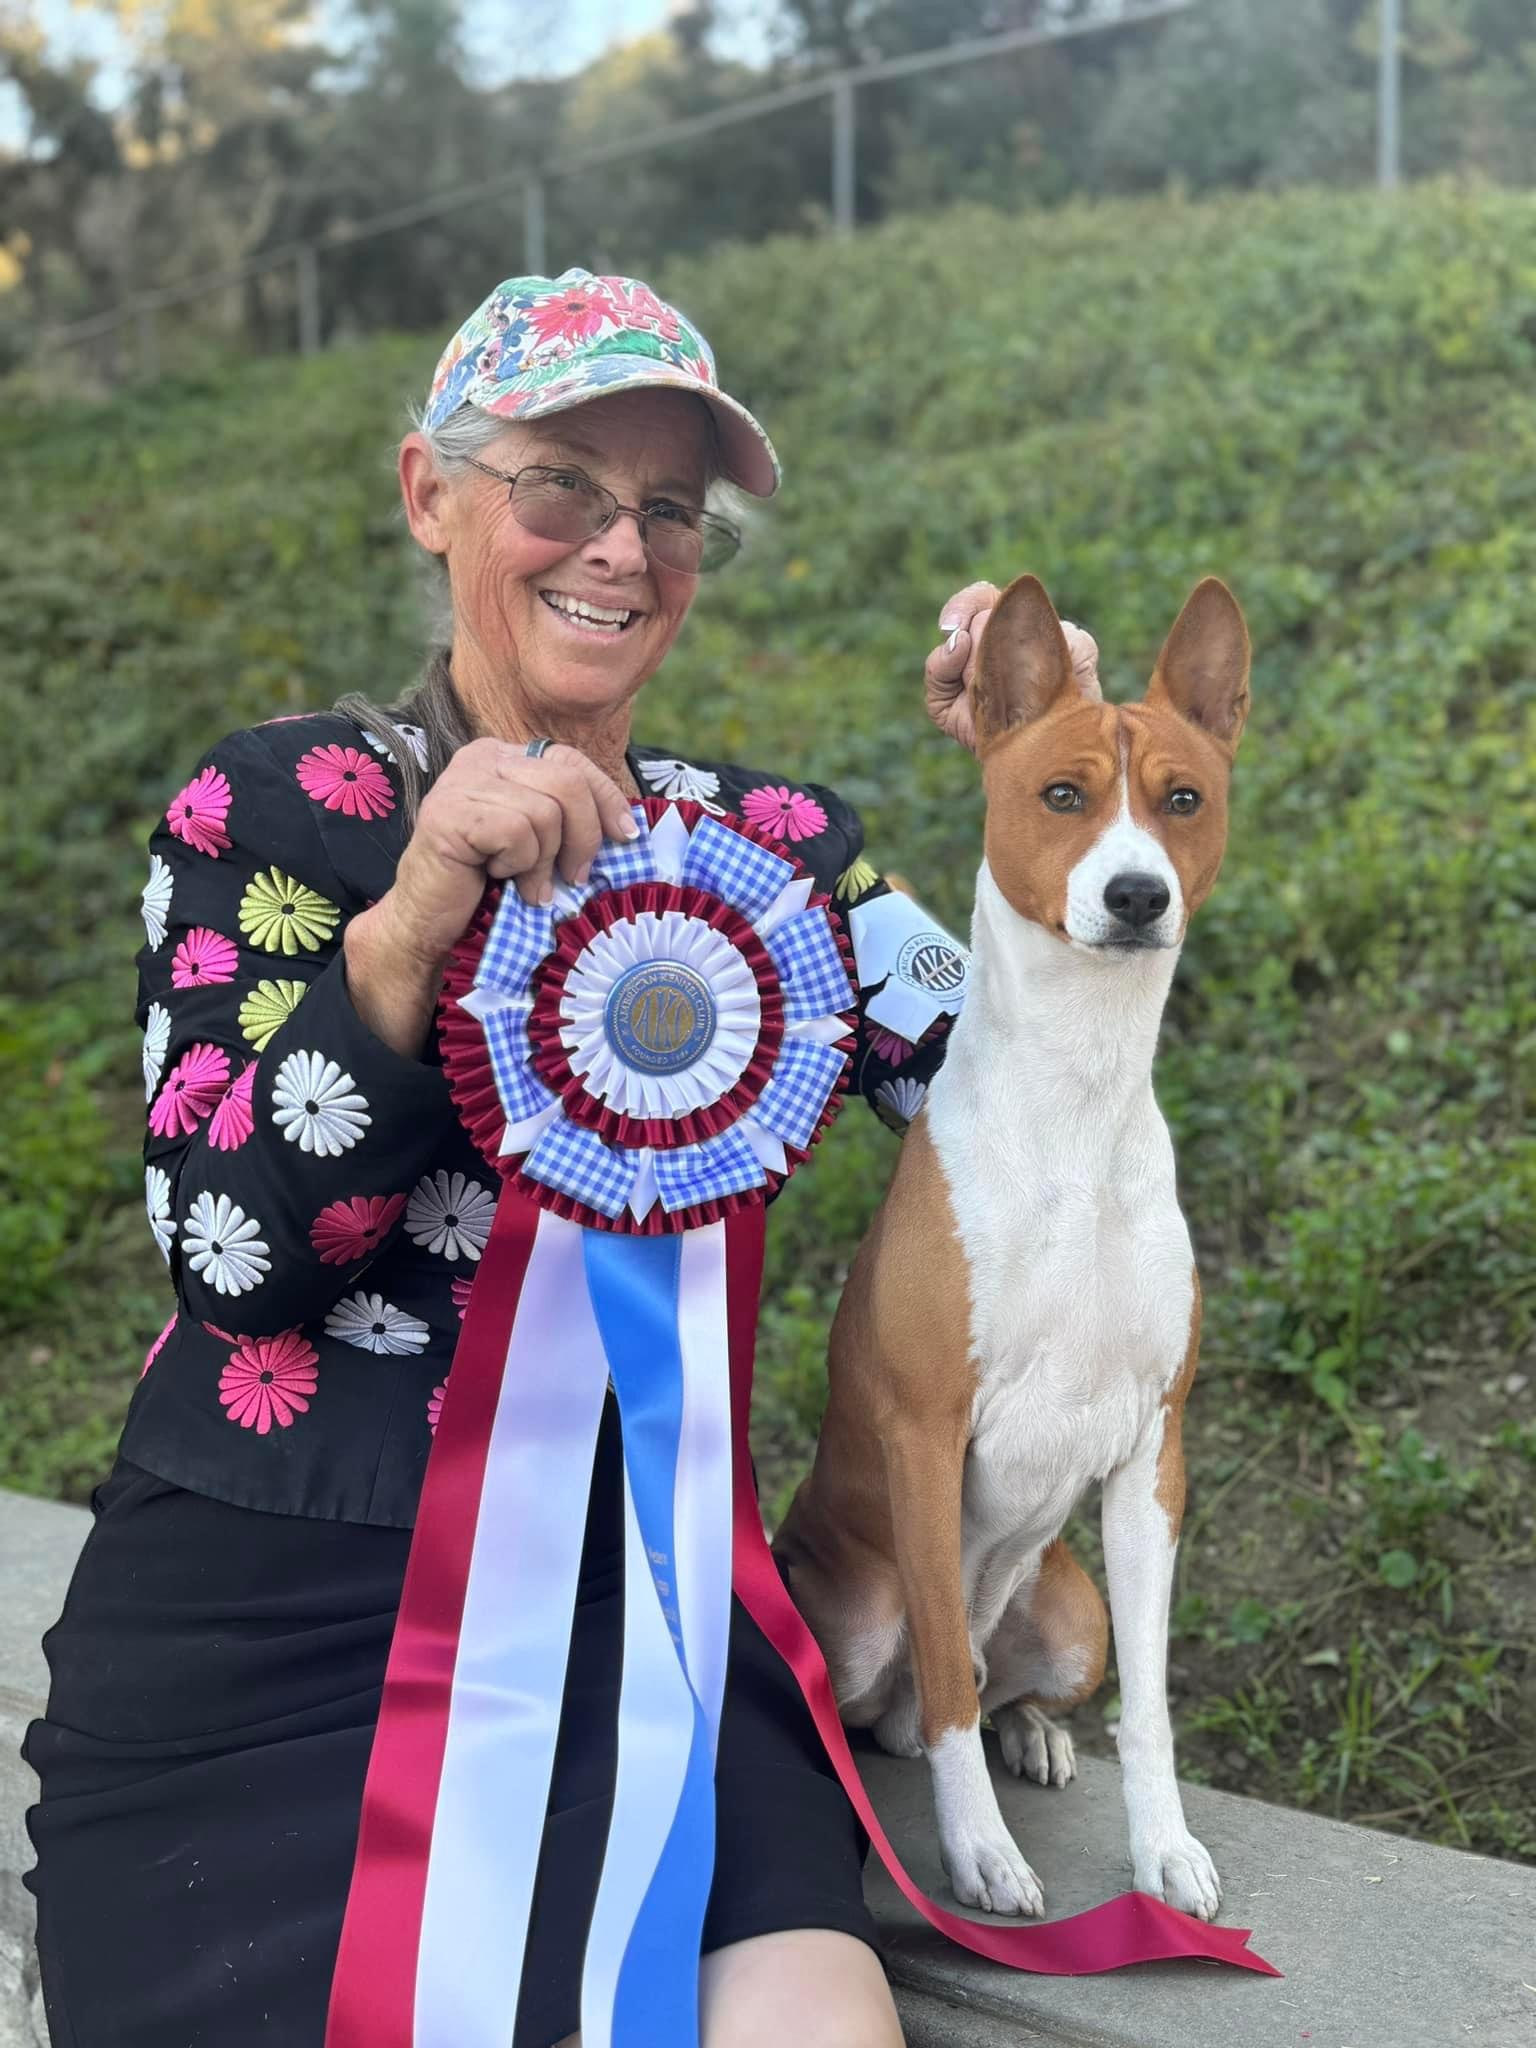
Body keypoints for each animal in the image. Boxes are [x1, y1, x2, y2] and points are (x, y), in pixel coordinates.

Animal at [775, 572, 1250, 1921]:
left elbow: (1150, 1706)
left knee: (1015, 1686)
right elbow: (943, 1681)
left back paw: (1034, 1728)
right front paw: (978, 1853)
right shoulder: (928, 1438)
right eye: (1062, 794)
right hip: (852, 1614)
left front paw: (1165, 1850)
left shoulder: (1152, 1452)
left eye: (1182, 799)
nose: (1138, 895)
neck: (1079, 1099)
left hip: (1070, 1603)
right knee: (906, 1696)